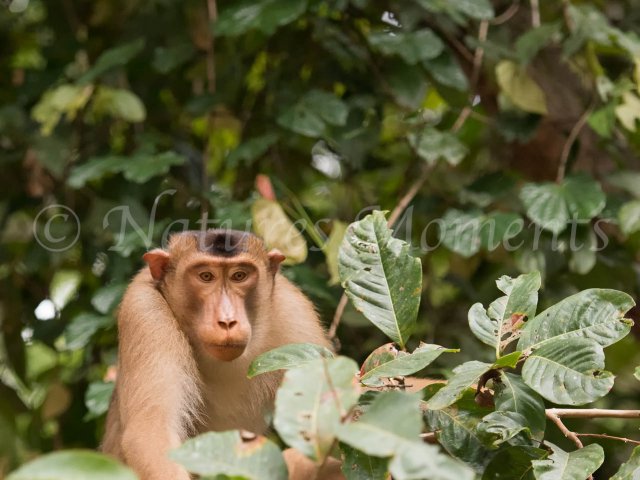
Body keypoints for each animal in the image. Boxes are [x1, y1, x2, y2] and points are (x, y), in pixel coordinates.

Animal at [101, 229, 336, 480]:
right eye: (206, 276)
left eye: (239, 276)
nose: (227, 321)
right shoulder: (144, 310)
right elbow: (150, 432)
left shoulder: (296, 314)